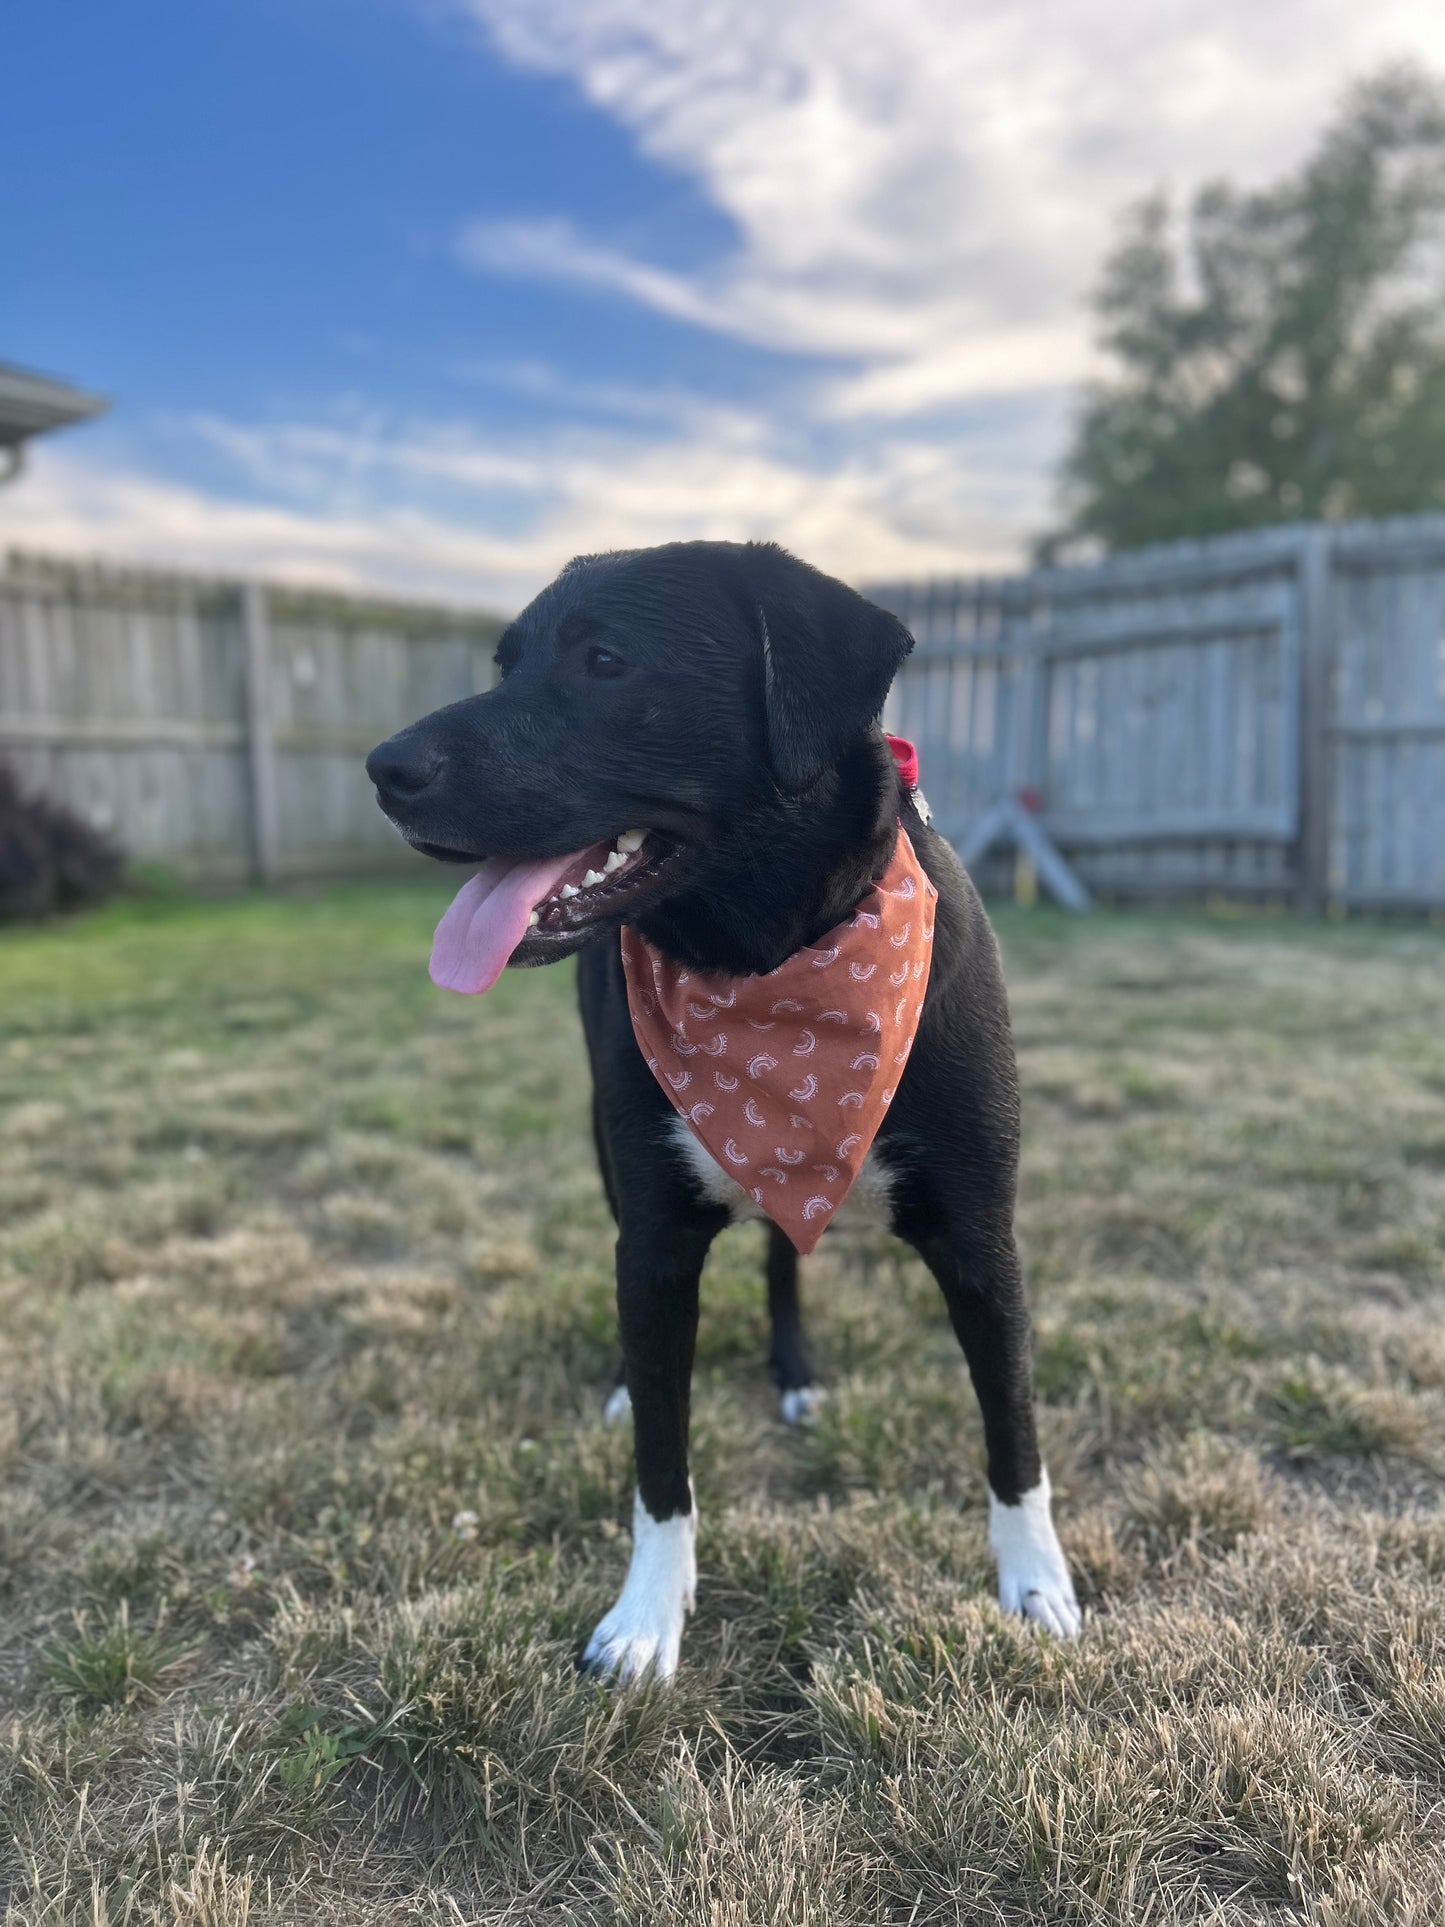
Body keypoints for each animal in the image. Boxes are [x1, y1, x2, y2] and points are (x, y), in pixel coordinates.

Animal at [367, 539, 1078, 1672]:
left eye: (605, 661)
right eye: (503, 663)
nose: (384, 768)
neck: (768, 960)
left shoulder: (980, 1238)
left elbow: (1013, 1430)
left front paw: (1037, 1583)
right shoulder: (655, 1239)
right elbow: (661, 1460)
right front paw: (646, 1617)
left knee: (786, 1255)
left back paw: (795, 1369)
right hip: (608, 1152)